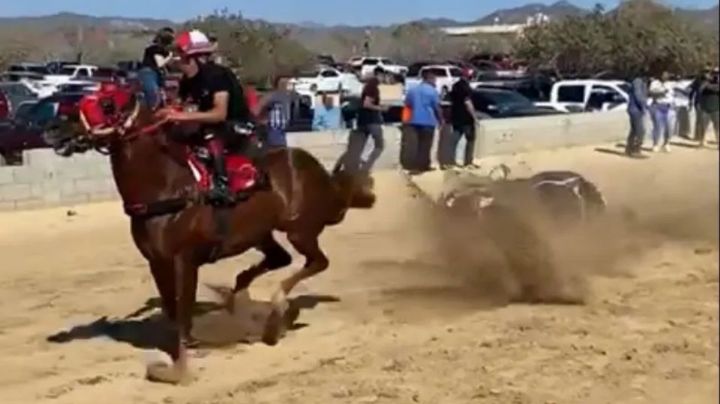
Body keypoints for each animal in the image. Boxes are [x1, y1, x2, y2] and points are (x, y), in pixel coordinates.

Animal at [45, 92, 376, 384]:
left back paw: (274, 312)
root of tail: (319, 172)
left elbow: (183, 312)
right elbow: (171, 312)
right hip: (260, 233)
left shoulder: (185, 260)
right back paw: (239, 299)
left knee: (317, 262)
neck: (167, 189)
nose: (53, 128)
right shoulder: (157, 262)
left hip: (300, 230)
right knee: (278, 259)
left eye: (106, 103)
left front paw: (178, 371)